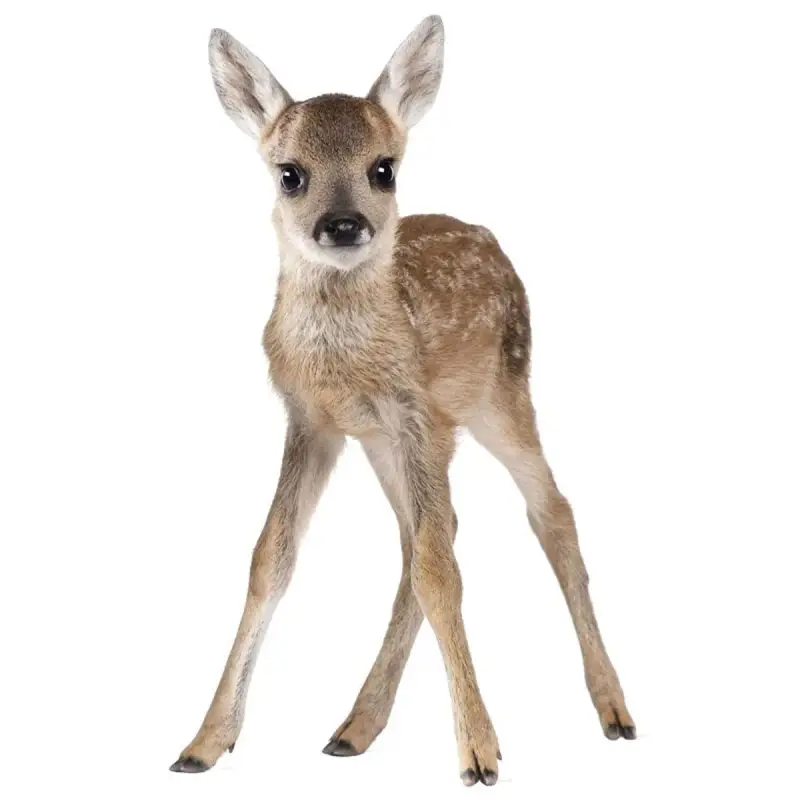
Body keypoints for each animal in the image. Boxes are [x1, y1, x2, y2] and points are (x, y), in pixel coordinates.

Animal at [170, 15, 635, 787]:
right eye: (289, 173)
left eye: (383, 168)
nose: (344, 224)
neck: (346, 362)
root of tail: (489, 236)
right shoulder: (314, 421)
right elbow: (273, 557)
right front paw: (204, 742)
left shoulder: (415, 411)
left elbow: (438, 570)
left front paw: (479, 753)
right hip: (397, 442)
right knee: (428, 535)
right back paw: (356, 727)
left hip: (501, 396)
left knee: (549, 513)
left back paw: (614, 710)